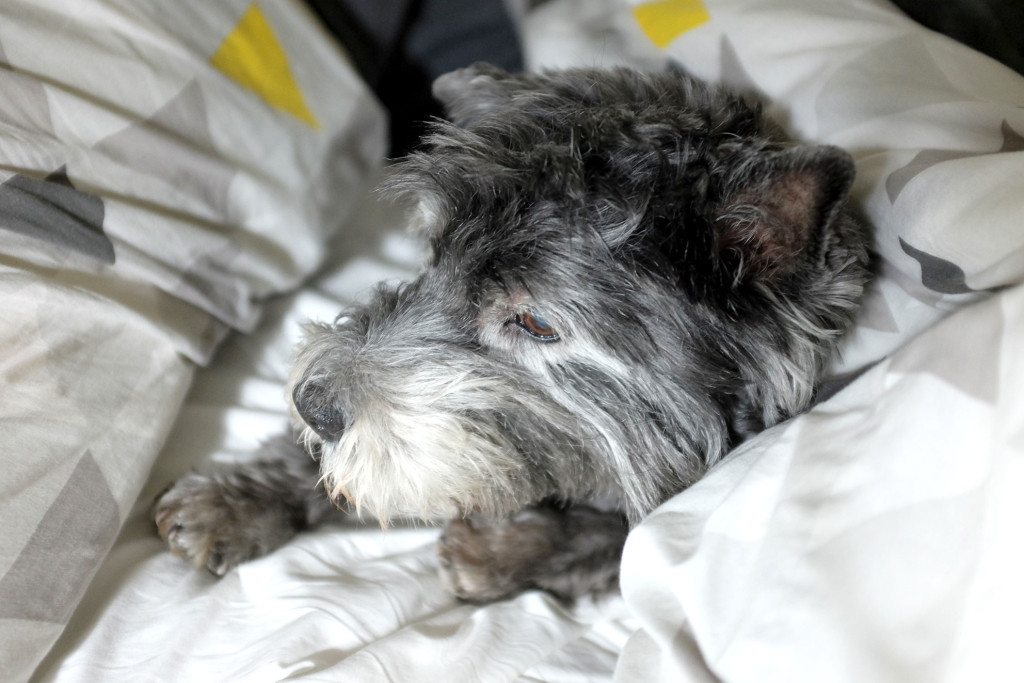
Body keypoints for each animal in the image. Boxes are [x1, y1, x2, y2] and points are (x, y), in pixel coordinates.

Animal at [153, 63, 872, 602]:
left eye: (534, 321)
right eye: (433, 253)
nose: (313, 404)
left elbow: (623, 536)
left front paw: (506, 549)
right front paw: (238, 497)